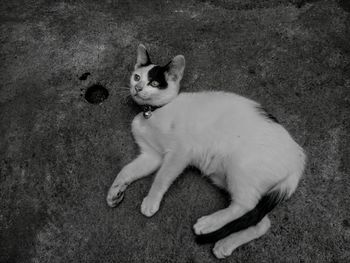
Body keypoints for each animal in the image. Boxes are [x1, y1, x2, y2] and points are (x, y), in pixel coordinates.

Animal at [106, 45, 306, 260]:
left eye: (154, 83)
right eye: (136, 77)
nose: (138, 88)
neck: (152, 112)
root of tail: (298, 159)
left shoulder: (180, 152)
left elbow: (161, 177)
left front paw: (151, 201)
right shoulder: (152, 155)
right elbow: (126, 170)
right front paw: (114, 191)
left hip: (240, 168)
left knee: (245, 206)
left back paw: (210, 223)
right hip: (230, 178)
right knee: (261, 222)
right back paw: (226, 244)